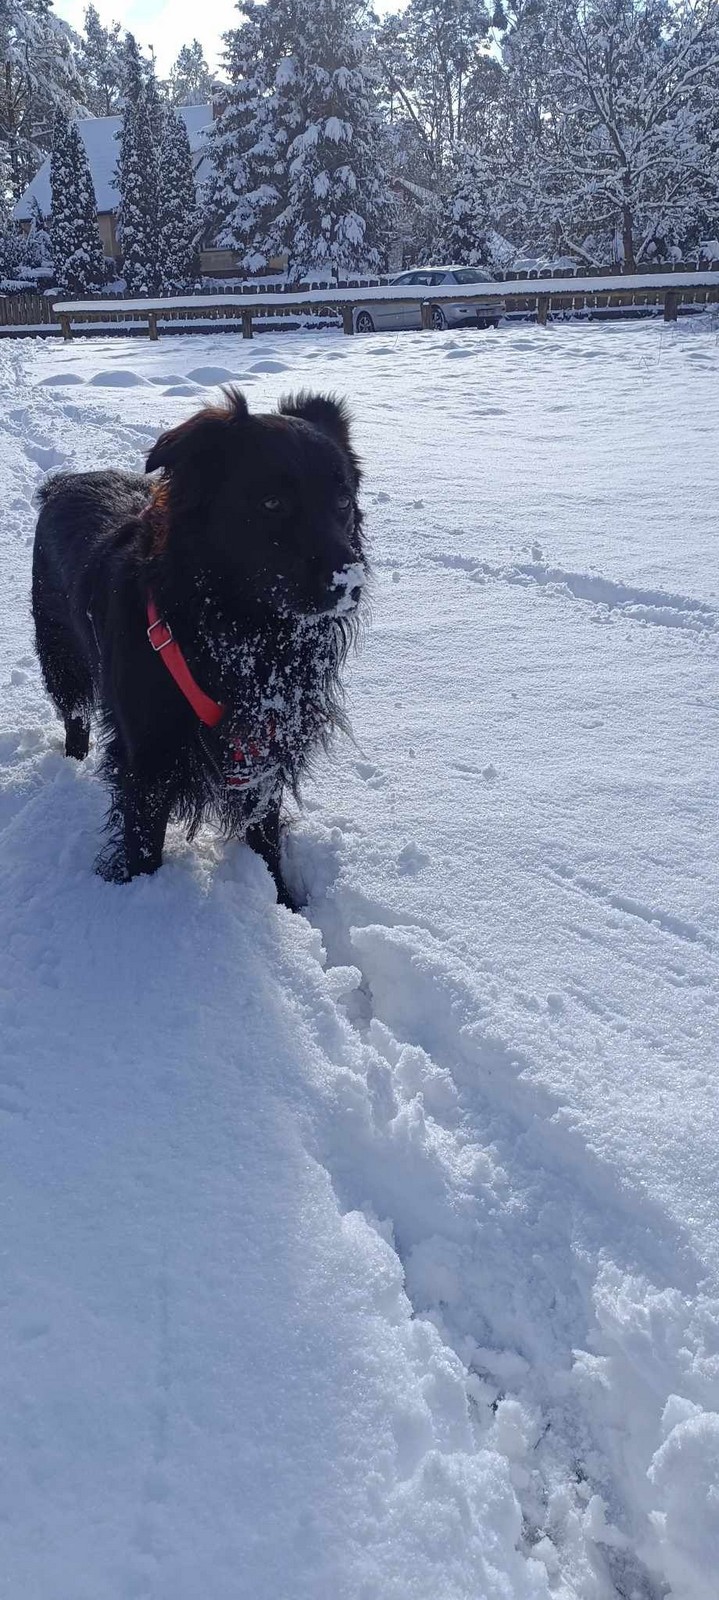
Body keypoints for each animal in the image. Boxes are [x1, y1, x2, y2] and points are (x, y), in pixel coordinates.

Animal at [32, 388, 367, 906]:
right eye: (272, 502)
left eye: (343, 500)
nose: (350, 583)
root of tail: (64, 482)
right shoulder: (147, 756)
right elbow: (143, 839)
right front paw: (139, 903)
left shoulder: (260, 744)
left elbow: (264, 832)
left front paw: (283, 902)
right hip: (59, 652)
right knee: (74, 715)